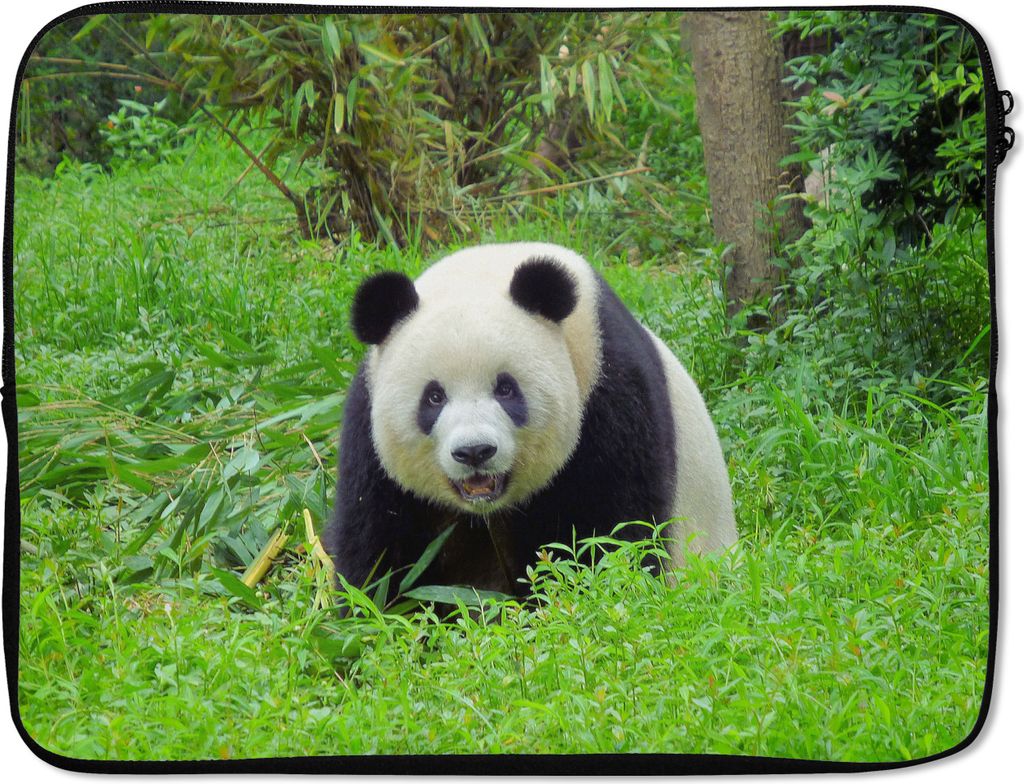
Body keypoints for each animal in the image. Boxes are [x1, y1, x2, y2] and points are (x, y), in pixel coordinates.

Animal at [325, 242, 736, 597]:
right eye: (434, 397)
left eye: (506, 389)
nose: (475, 452)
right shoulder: (369, 428)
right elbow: (378, 545)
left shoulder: (609, 392)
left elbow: (614, 529)